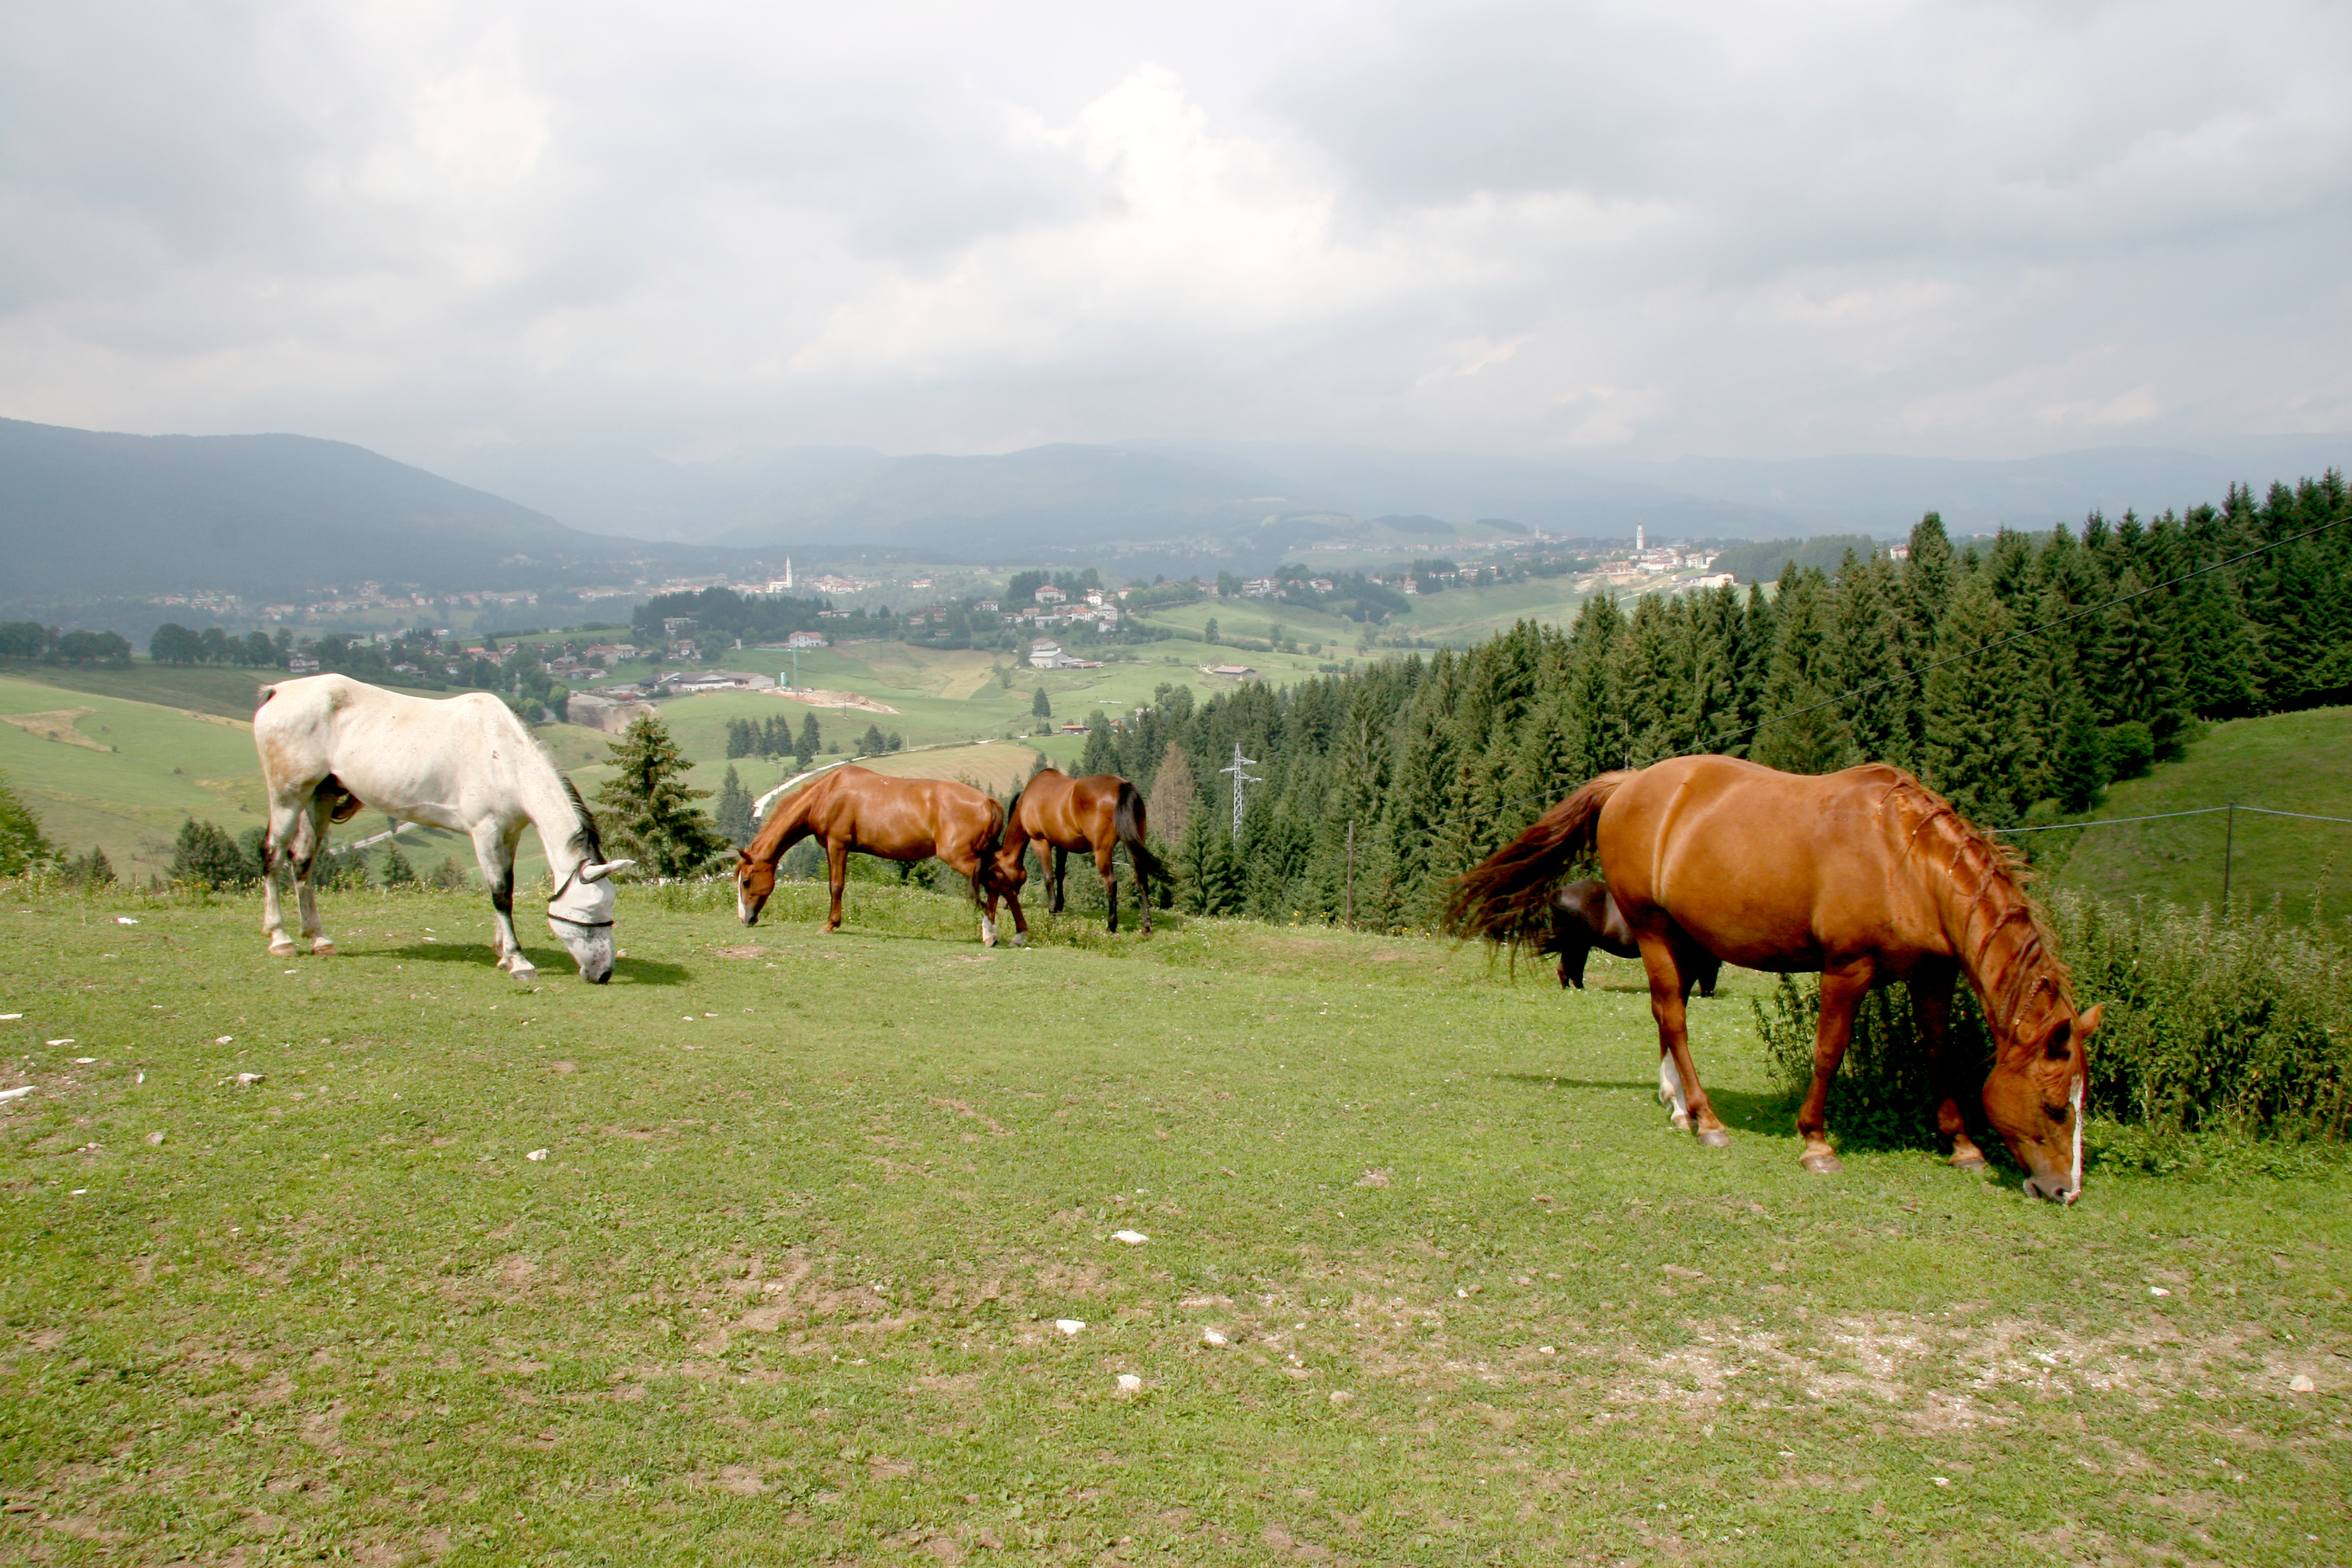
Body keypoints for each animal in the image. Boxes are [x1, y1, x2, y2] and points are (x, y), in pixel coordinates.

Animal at [255, 672, 635, 982]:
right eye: (588, 913)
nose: (604, 973)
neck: (504, 758)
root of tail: (278, 691)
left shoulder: (509, 834)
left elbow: (506, 887)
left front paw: (502, 952)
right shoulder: (485, 832)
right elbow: (500, 892)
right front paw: (517, 960)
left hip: (321, 794)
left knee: (302, 860)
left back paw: (318, 938)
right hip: (287, 796)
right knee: (274, 855)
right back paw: (280, 938)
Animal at [724, 761, 1001, 940]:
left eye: (746, 882)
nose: (744, 919)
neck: (826, 792)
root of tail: (988, 801)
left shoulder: (837, 844)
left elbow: (836, 885)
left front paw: (831, 924)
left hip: (960, 858)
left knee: (996, 883)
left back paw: (991, 932)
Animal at [987, 766, 1171, 940]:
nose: (1005, 903)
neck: (1027, 800)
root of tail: (1122, 786)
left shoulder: (1039, 842)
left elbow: (1049, 877)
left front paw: (1052, 910)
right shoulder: (1062, 845)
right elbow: (1060, 874)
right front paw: (1060, 907)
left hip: (1102, 851)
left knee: (1111, 882)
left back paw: (1111, 925)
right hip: (1135, 844)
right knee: (1142, 879)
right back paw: (1146, 926)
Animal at [1533, 879, 1721, 1001]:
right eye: (1715, 966)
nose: (1709, 994)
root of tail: (1560, 892)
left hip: (1576, 945)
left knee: (1568, 969)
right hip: (1578, 944)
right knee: (1571, 969)